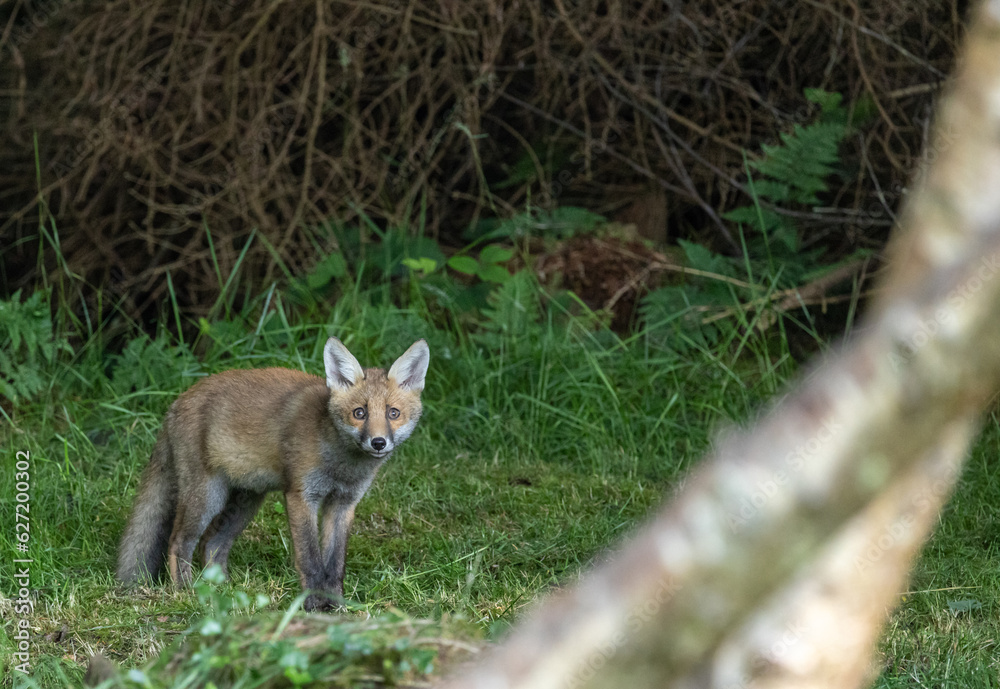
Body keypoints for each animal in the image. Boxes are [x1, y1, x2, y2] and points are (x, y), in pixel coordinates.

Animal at [116, 337, 429, 611]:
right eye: (359, 413)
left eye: (393, 413)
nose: (378, 442)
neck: (341, 466)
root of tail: (176, 402)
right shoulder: (302, 496)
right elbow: (311, 561)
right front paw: (313, 606)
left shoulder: (343, 504)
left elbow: (335, 564)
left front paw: (338, 605)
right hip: (207, 497)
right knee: (180, 541)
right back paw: (187, 592)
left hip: (246, 501)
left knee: (212, 543)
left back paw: (225, 592)